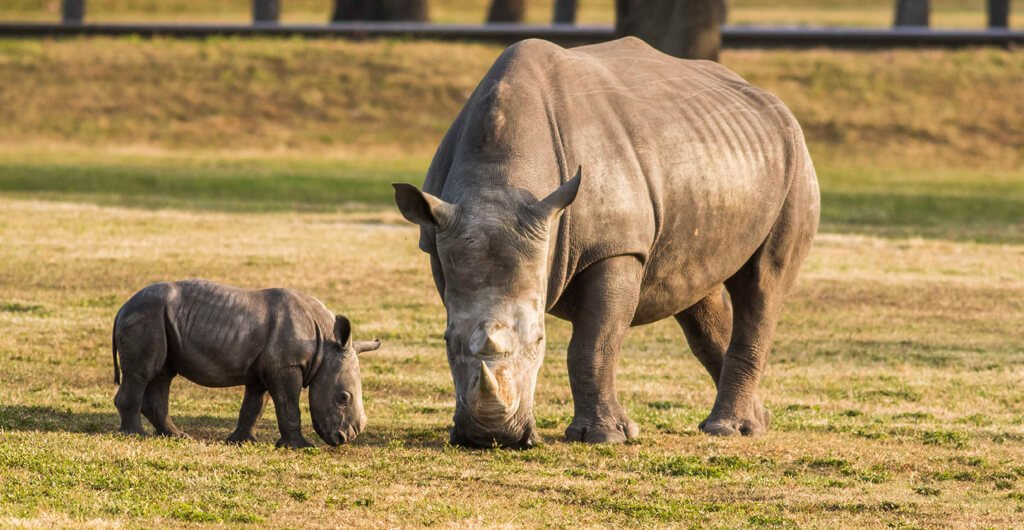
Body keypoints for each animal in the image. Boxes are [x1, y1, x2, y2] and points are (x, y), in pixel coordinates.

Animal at [112, 279, 381, 448]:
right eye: (343, 398)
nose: (346, 438)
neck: (326, 346)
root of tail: (122, 307)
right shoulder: (286, 366)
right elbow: (289, 405)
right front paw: (301, 447)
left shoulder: (264, 369)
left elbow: (254, 406)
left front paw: (242, 441)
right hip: (147, 316)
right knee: (142, 373)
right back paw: (135, 435)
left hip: (158, 317)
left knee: (163, 374)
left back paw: (177, 436)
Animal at [392, 37, 819, 448]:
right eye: (446, 341)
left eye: (540, 340)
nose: (492, 437)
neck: (497, 182)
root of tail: (771, 101)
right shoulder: (439, 237)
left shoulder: (616, 247)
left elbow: (593, 343)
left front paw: (604, 436)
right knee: (697, 293)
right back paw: (757, 422)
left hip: (796, 160)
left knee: (762, 283)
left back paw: (727, 430)